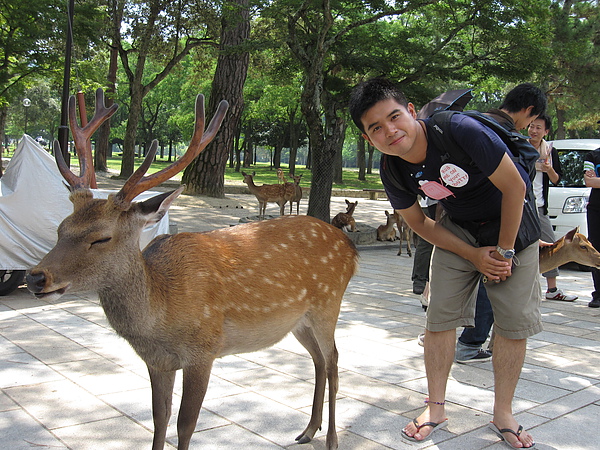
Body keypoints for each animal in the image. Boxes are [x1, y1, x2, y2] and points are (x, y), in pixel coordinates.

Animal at [27, 89, 356, 450]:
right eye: (60, 228)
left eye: (101, 238)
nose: (36, 277)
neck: (161, 315)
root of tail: (350, 248)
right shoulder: (157, 362)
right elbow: (159, 418)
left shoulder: (203, 350)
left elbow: (186, 424)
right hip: (299, 320)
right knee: (319, 361)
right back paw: (308, 430)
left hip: (328, 304)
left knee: (334, 360)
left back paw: (332, 439)